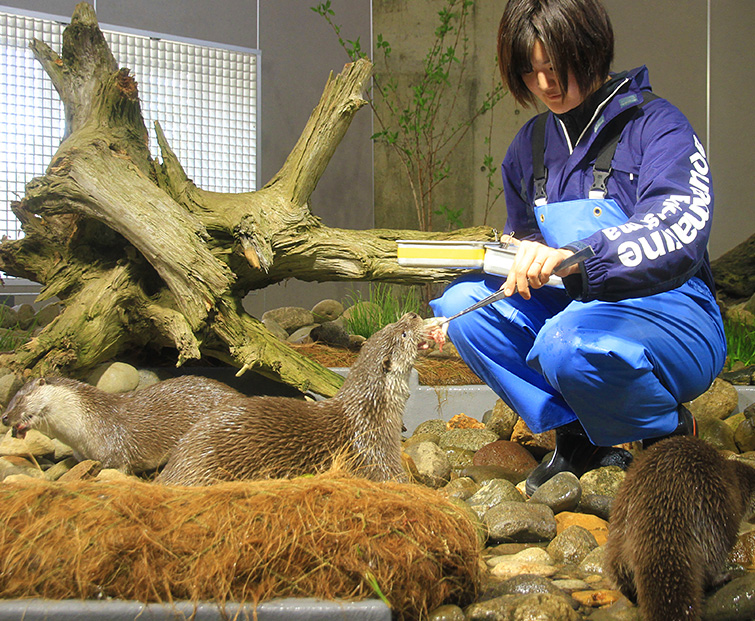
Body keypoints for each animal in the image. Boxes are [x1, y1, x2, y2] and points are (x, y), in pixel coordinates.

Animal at [158, 312, 432, 486]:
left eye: (392, 323)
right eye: (403, 333)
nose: (412, 314)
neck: (372, 409)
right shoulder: (372, 447)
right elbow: (390, 477)